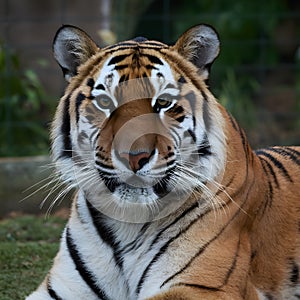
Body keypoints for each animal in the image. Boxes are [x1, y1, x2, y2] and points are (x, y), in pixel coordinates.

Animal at [26, 24, 300, 300]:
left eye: (163, 102)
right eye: (105, 102)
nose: (134, 156)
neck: (128, 222)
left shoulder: (203, 285)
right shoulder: (59, 288)